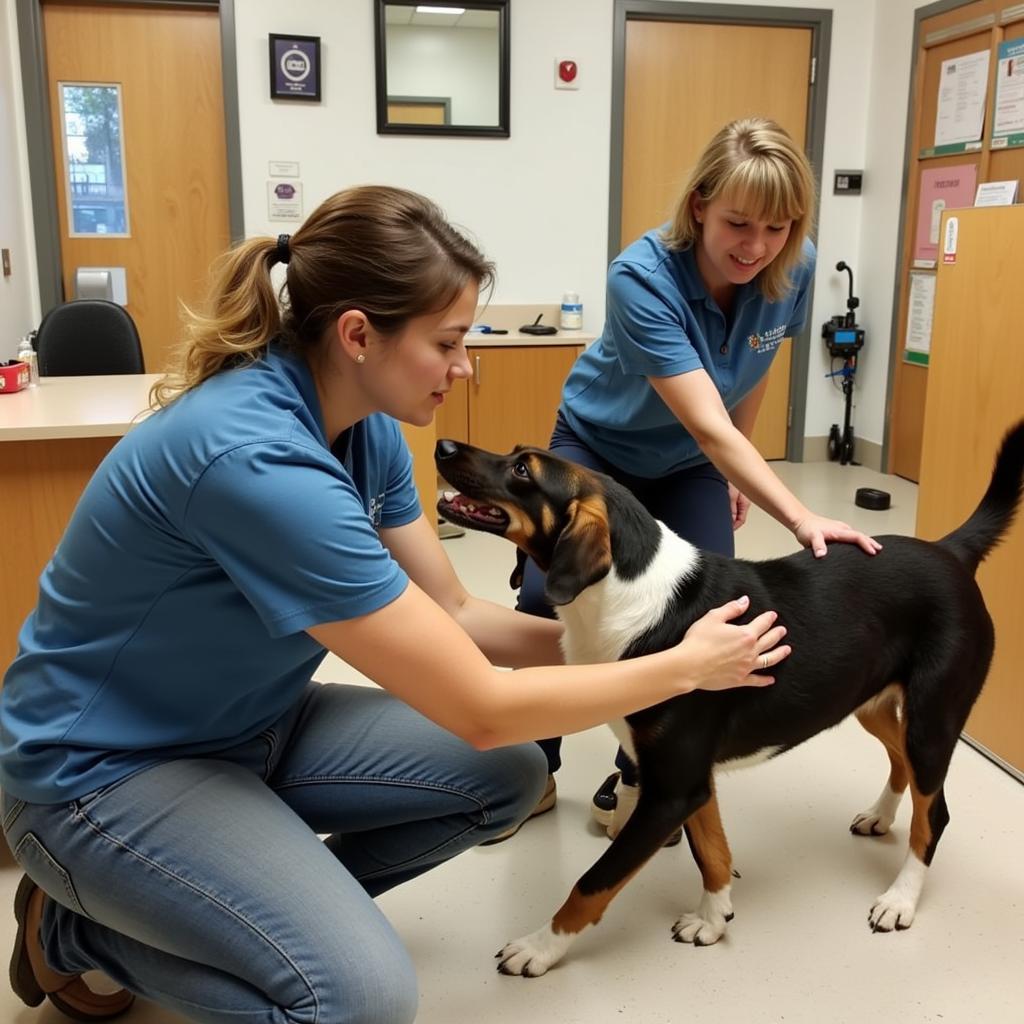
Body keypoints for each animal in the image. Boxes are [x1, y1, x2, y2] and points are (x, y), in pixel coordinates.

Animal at [434, 421, 1024, 974]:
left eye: (523, 471)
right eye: (515, 455)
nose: (441, 446)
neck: (626, 590)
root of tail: (948, 550)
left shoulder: (671, 790)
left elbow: (592, 883)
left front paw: (539, 948)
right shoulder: (692, 781)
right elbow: (713, 851)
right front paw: (714, 919)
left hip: (933, 717)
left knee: (935, 812)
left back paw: (900, 899)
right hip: (870, 702)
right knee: (902, 763)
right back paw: (880, 816)